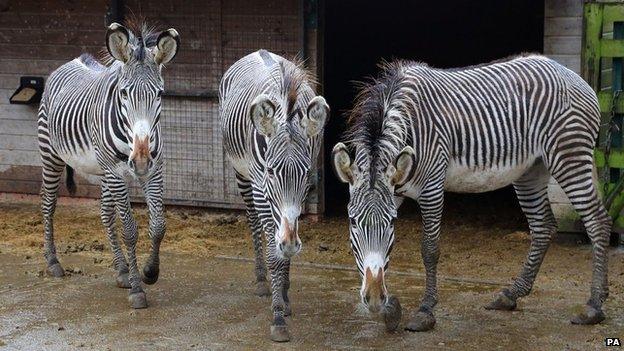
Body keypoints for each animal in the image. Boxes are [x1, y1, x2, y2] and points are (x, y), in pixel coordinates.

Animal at [38, 20, 179, 310]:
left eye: (160, 94)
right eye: (124, 93)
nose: (140, 160)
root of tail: (73, 60)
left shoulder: (154, 170)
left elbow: (158, 225)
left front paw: (149, 272)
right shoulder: (116, 172)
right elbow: (130, 231)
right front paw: (137, 290)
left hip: (102, 171)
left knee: (105, 214)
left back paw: (122, 270)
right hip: (51, 155)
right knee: (48, 204)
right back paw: (53, 262)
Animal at [218, 51, 330, 342]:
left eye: (306, 172)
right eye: (271, 170)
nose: (290, 244)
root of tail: (259, 52)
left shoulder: (298, 200)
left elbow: (284, 243)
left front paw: (285, 297)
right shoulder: (261, 186)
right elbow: (273, 254)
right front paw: (278, 317)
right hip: (242, 176)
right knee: (253, 221)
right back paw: (261, 279)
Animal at [334, 55, 612, 332]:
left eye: (392, 222)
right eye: (352, 221)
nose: (373, 298)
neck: (410, 123)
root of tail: (570, 74)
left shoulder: (432, 187)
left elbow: (429, 249)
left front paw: (425, 310)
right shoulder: (394, 190)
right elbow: (379, 255)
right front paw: (387, 306)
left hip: (569, 156)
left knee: (597, 221)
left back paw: (594, 306)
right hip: (531, 169)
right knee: (543, 226)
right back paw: (511, 295)